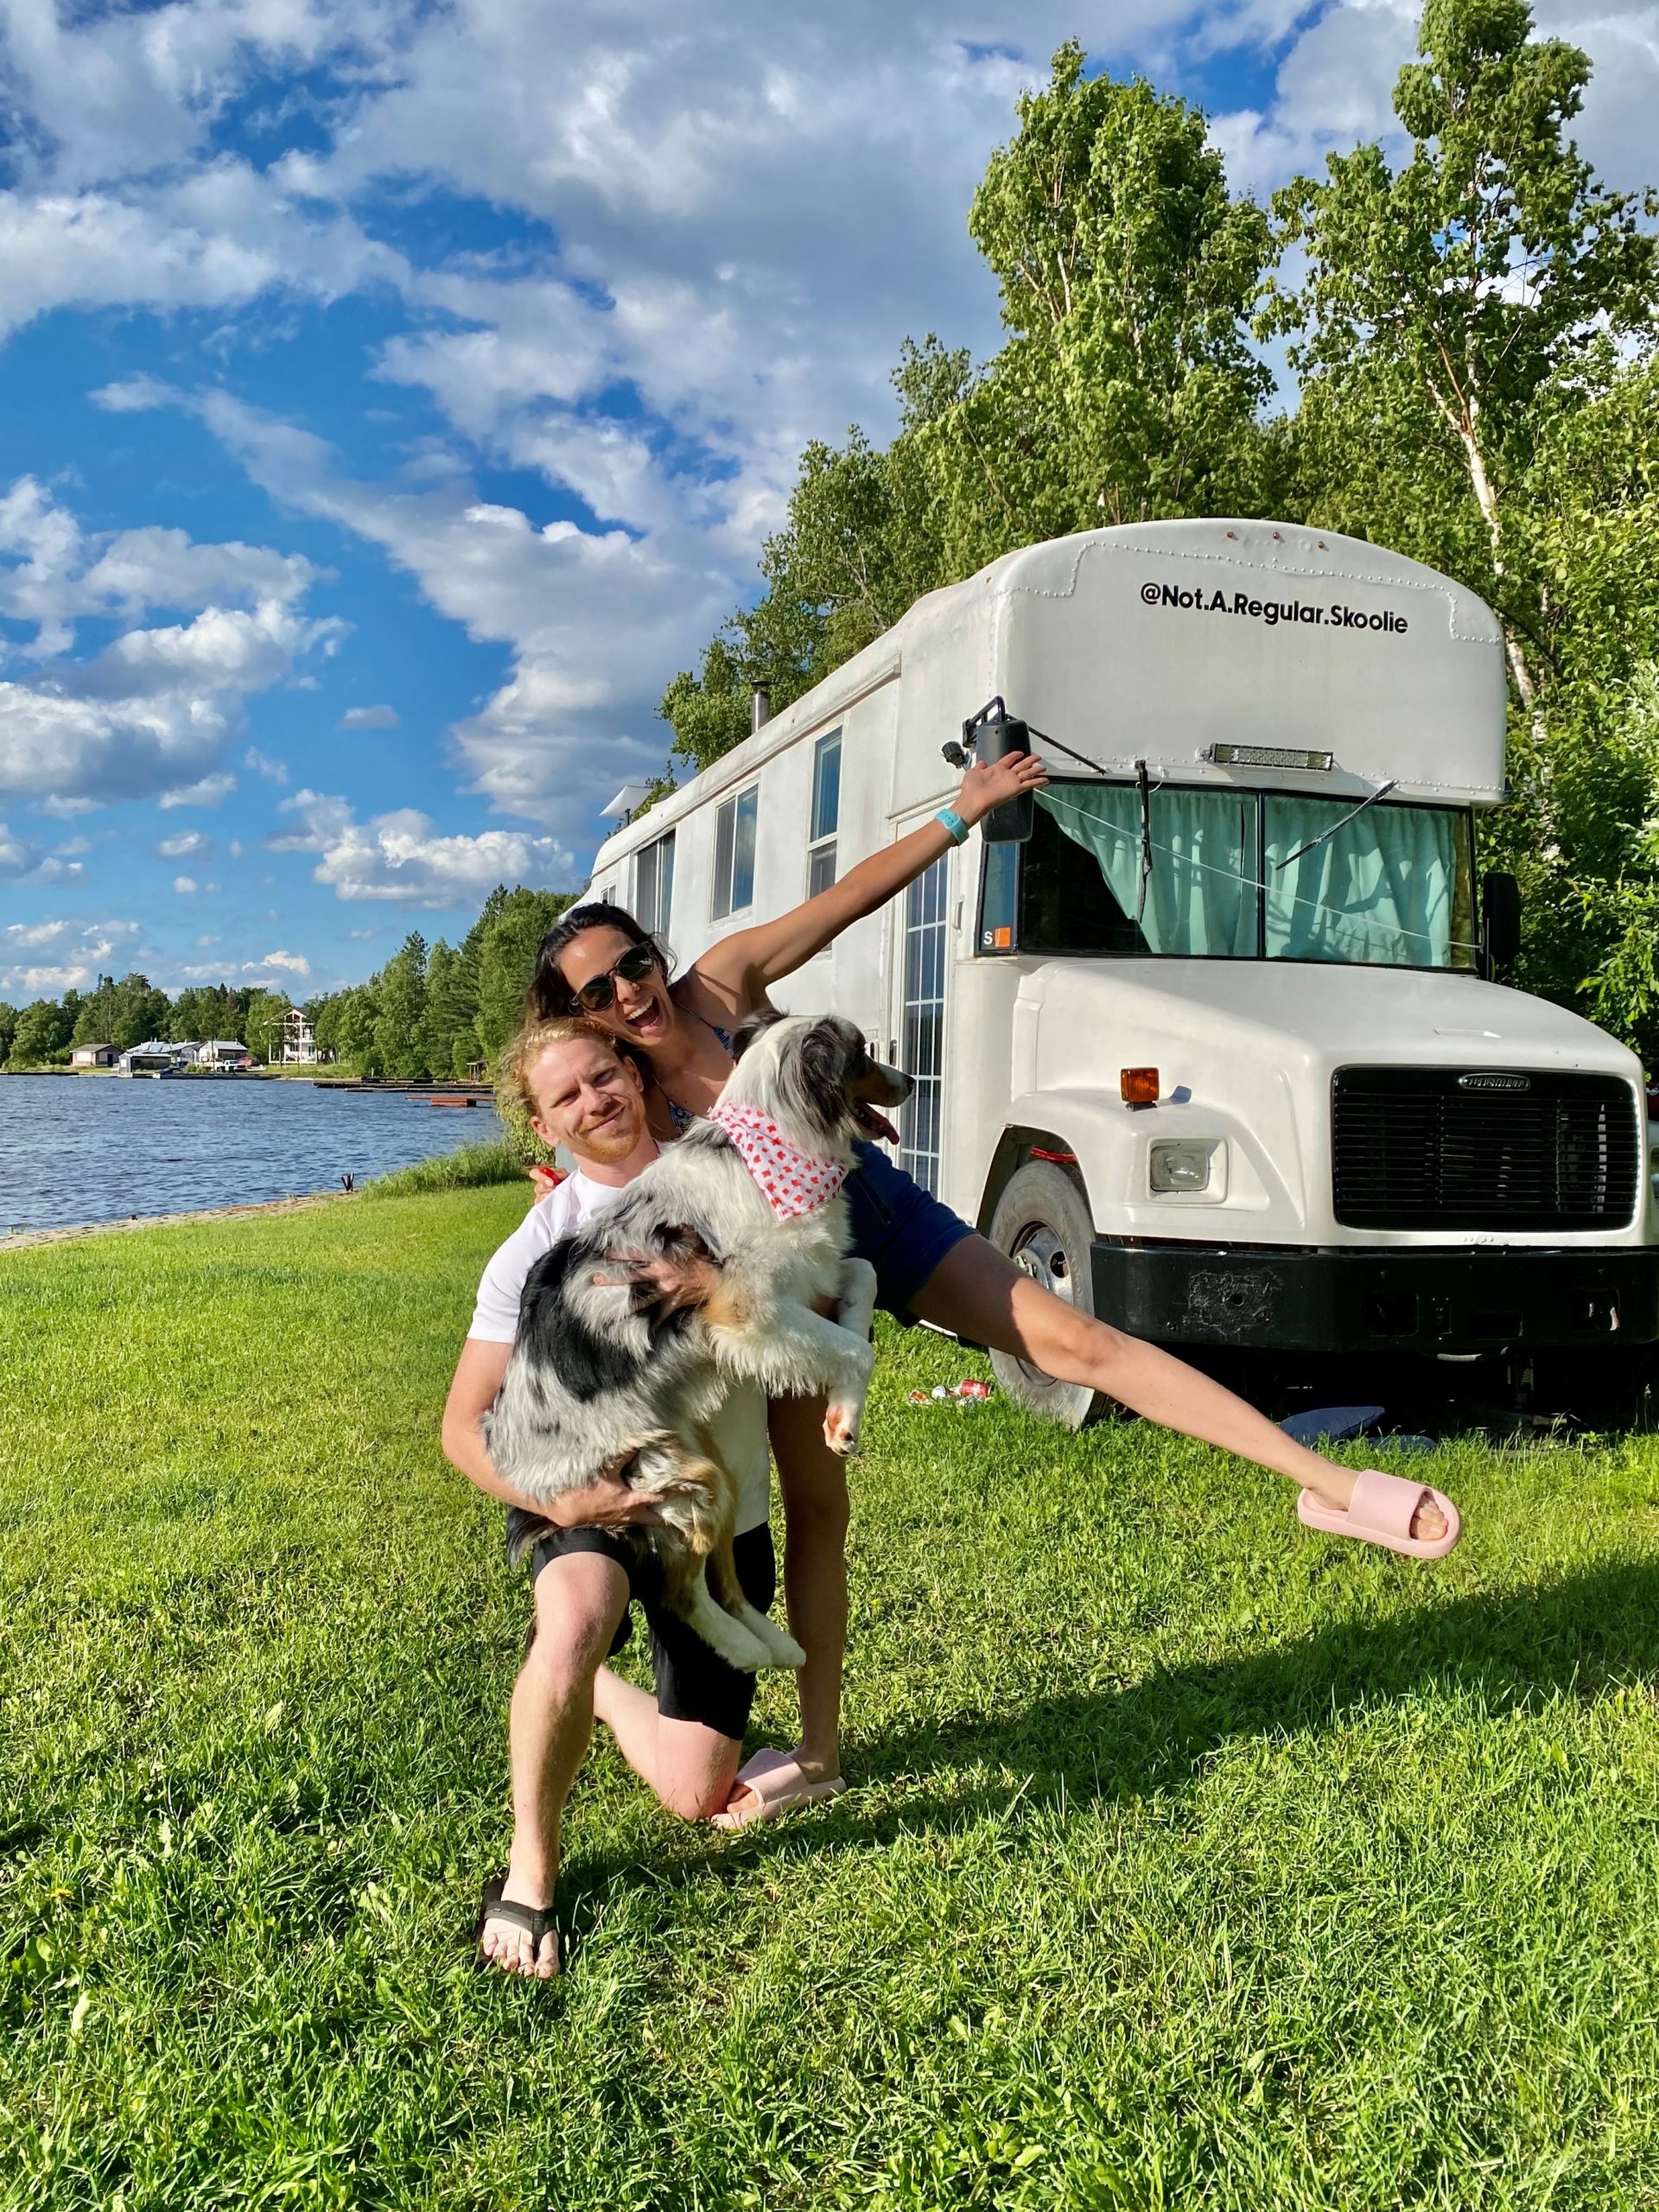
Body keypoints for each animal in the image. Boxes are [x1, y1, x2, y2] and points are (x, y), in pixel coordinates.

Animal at [486, 1013, 915, 1663]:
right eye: (863, 1054)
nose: (911, 1080)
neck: (772, 1148)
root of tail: (517, 1470)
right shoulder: (749, 1314)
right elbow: (856, 1352)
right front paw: (844, 1418)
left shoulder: (806, 1281)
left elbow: (862, 1275)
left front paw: (842, 1400)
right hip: (677, 1478)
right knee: (680, 1592)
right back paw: (745, 1650)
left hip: (716, 1471)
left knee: (724, 1580)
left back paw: (778, 1646)